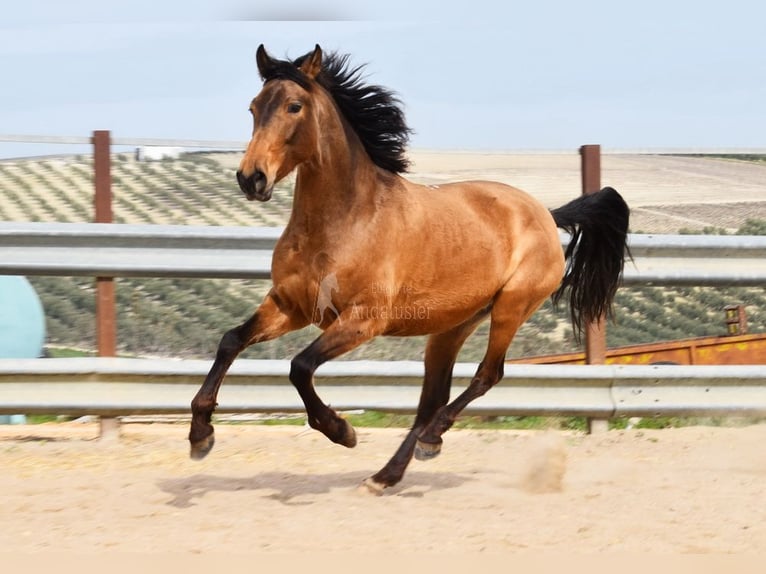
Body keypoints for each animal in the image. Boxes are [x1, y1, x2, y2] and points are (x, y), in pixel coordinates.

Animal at [188, 45, 632, 496]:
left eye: (294, 106)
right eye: (254, 107)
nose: (251, 178)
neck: (347, 219)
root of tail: (545, 213)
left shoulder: (363, 320)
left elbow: (300, 367)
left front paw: (341, 430)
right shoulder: (290, 306)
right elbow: (231, 341)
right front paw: (200, 435)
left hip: (511, 308)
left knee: (486, 376)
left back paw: (429, 441)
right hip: (452, 326)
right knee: (431, 399)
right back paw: (387, 474)